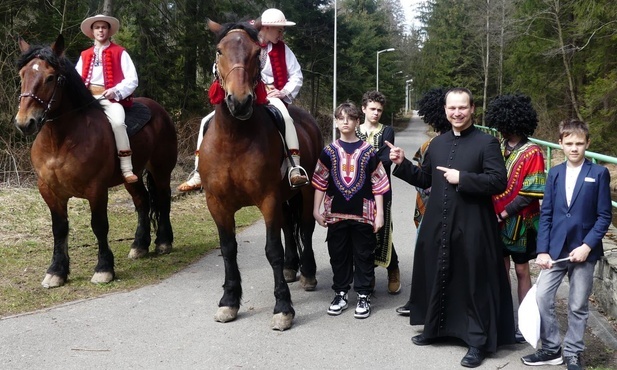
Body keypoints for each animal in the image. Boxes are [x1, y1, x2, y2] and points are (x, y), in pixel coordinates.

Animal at [14, 34, 177, 288]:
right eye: (22, 75)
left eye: (50, 77)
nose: (24, 123)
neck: (59, 142)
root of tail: (159, 110)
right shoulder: (49, 191)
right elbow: (59, 229)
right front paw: (56, 271)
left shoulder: (96, 189)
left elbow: (99, 226)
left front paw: (104, 269)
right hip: (131, 177)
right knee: (142, 202)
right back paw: (139, 246)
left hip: (161, 170)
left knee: (162, 199)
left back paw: (163, 242)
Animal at [205, 20, 324, 330]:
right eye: (219, 50)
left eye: (256, 52)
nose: (240, 101)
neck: (233, 139)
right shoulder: (217, 204)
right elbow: (228, 249)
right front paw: (229, 301)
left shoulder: (268, 199)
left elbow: (273, 250)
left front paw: (283, 307)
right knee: (289, 228)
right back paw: (292, 267)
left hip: (305, 192)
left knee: (304, 228)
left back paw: (307, 271)